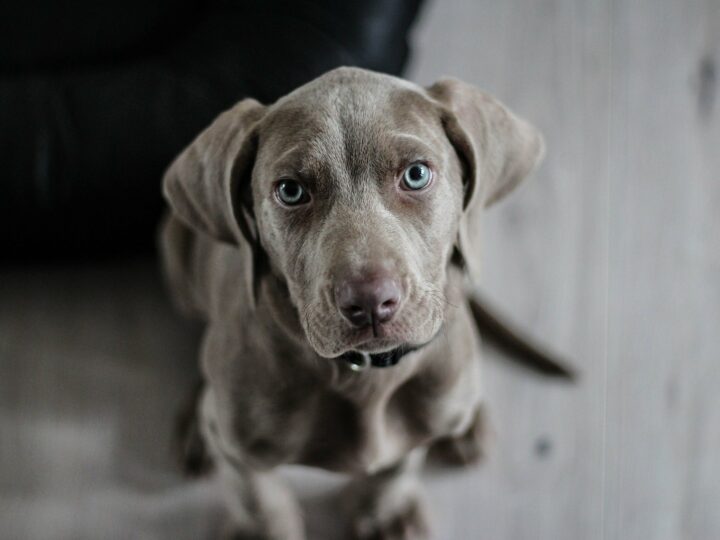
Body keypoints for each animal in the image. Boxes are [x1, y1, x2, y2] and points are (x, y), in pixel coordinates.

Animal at [160, 65, 548, 536]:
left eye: (416, 175)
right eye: (290, 191)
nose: (370, 302)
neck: (365, 375)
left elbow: (397, 467)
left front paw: (384, 513)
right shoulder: (238, 450)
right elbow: (258, 498)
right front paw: (264, 528)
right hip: (175, 252)